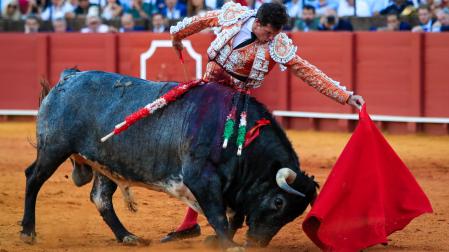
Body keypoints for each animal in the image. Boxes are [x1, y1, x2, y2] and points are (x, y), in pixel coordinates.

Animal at [19, 69, 316, 248]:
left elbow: (234, 216)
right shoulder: (201, 179)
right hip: (53, 148)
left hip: (105, 164)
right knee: (33, 179)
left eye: (295, 213)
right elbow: (219, 215)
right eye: (279, 202)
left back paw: (127, 236)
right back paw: (28, 232)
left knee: (101, 198)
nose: (257, 243)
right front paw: (230, 246)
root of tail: (69, 77)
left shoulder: (232, 188)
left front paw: (220, 242)